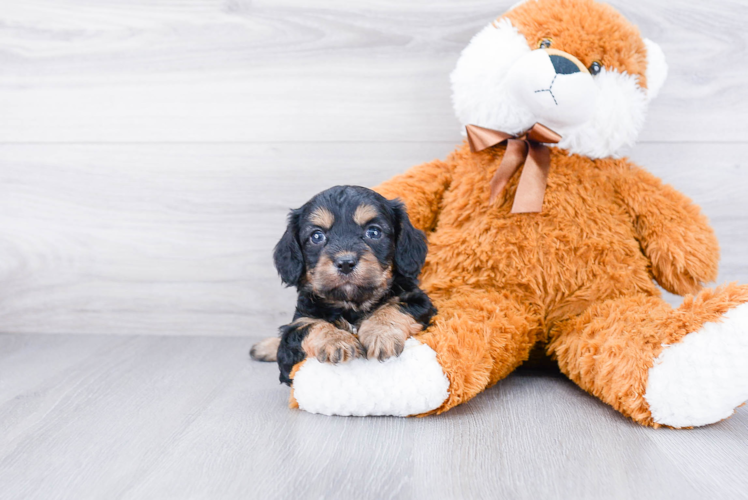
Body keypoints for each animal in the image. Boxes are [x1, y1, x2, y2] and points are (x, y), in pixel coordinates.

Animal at [251, 186, 438, 384]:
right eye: (316, 236)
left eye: (374, 232)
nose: (346, 263)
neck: (350, 304)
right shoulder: (291, 343)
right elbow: (308, 325)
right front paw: (337, 340)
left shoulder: (419, 301)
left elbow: (394, 307)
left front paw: (380, 333)